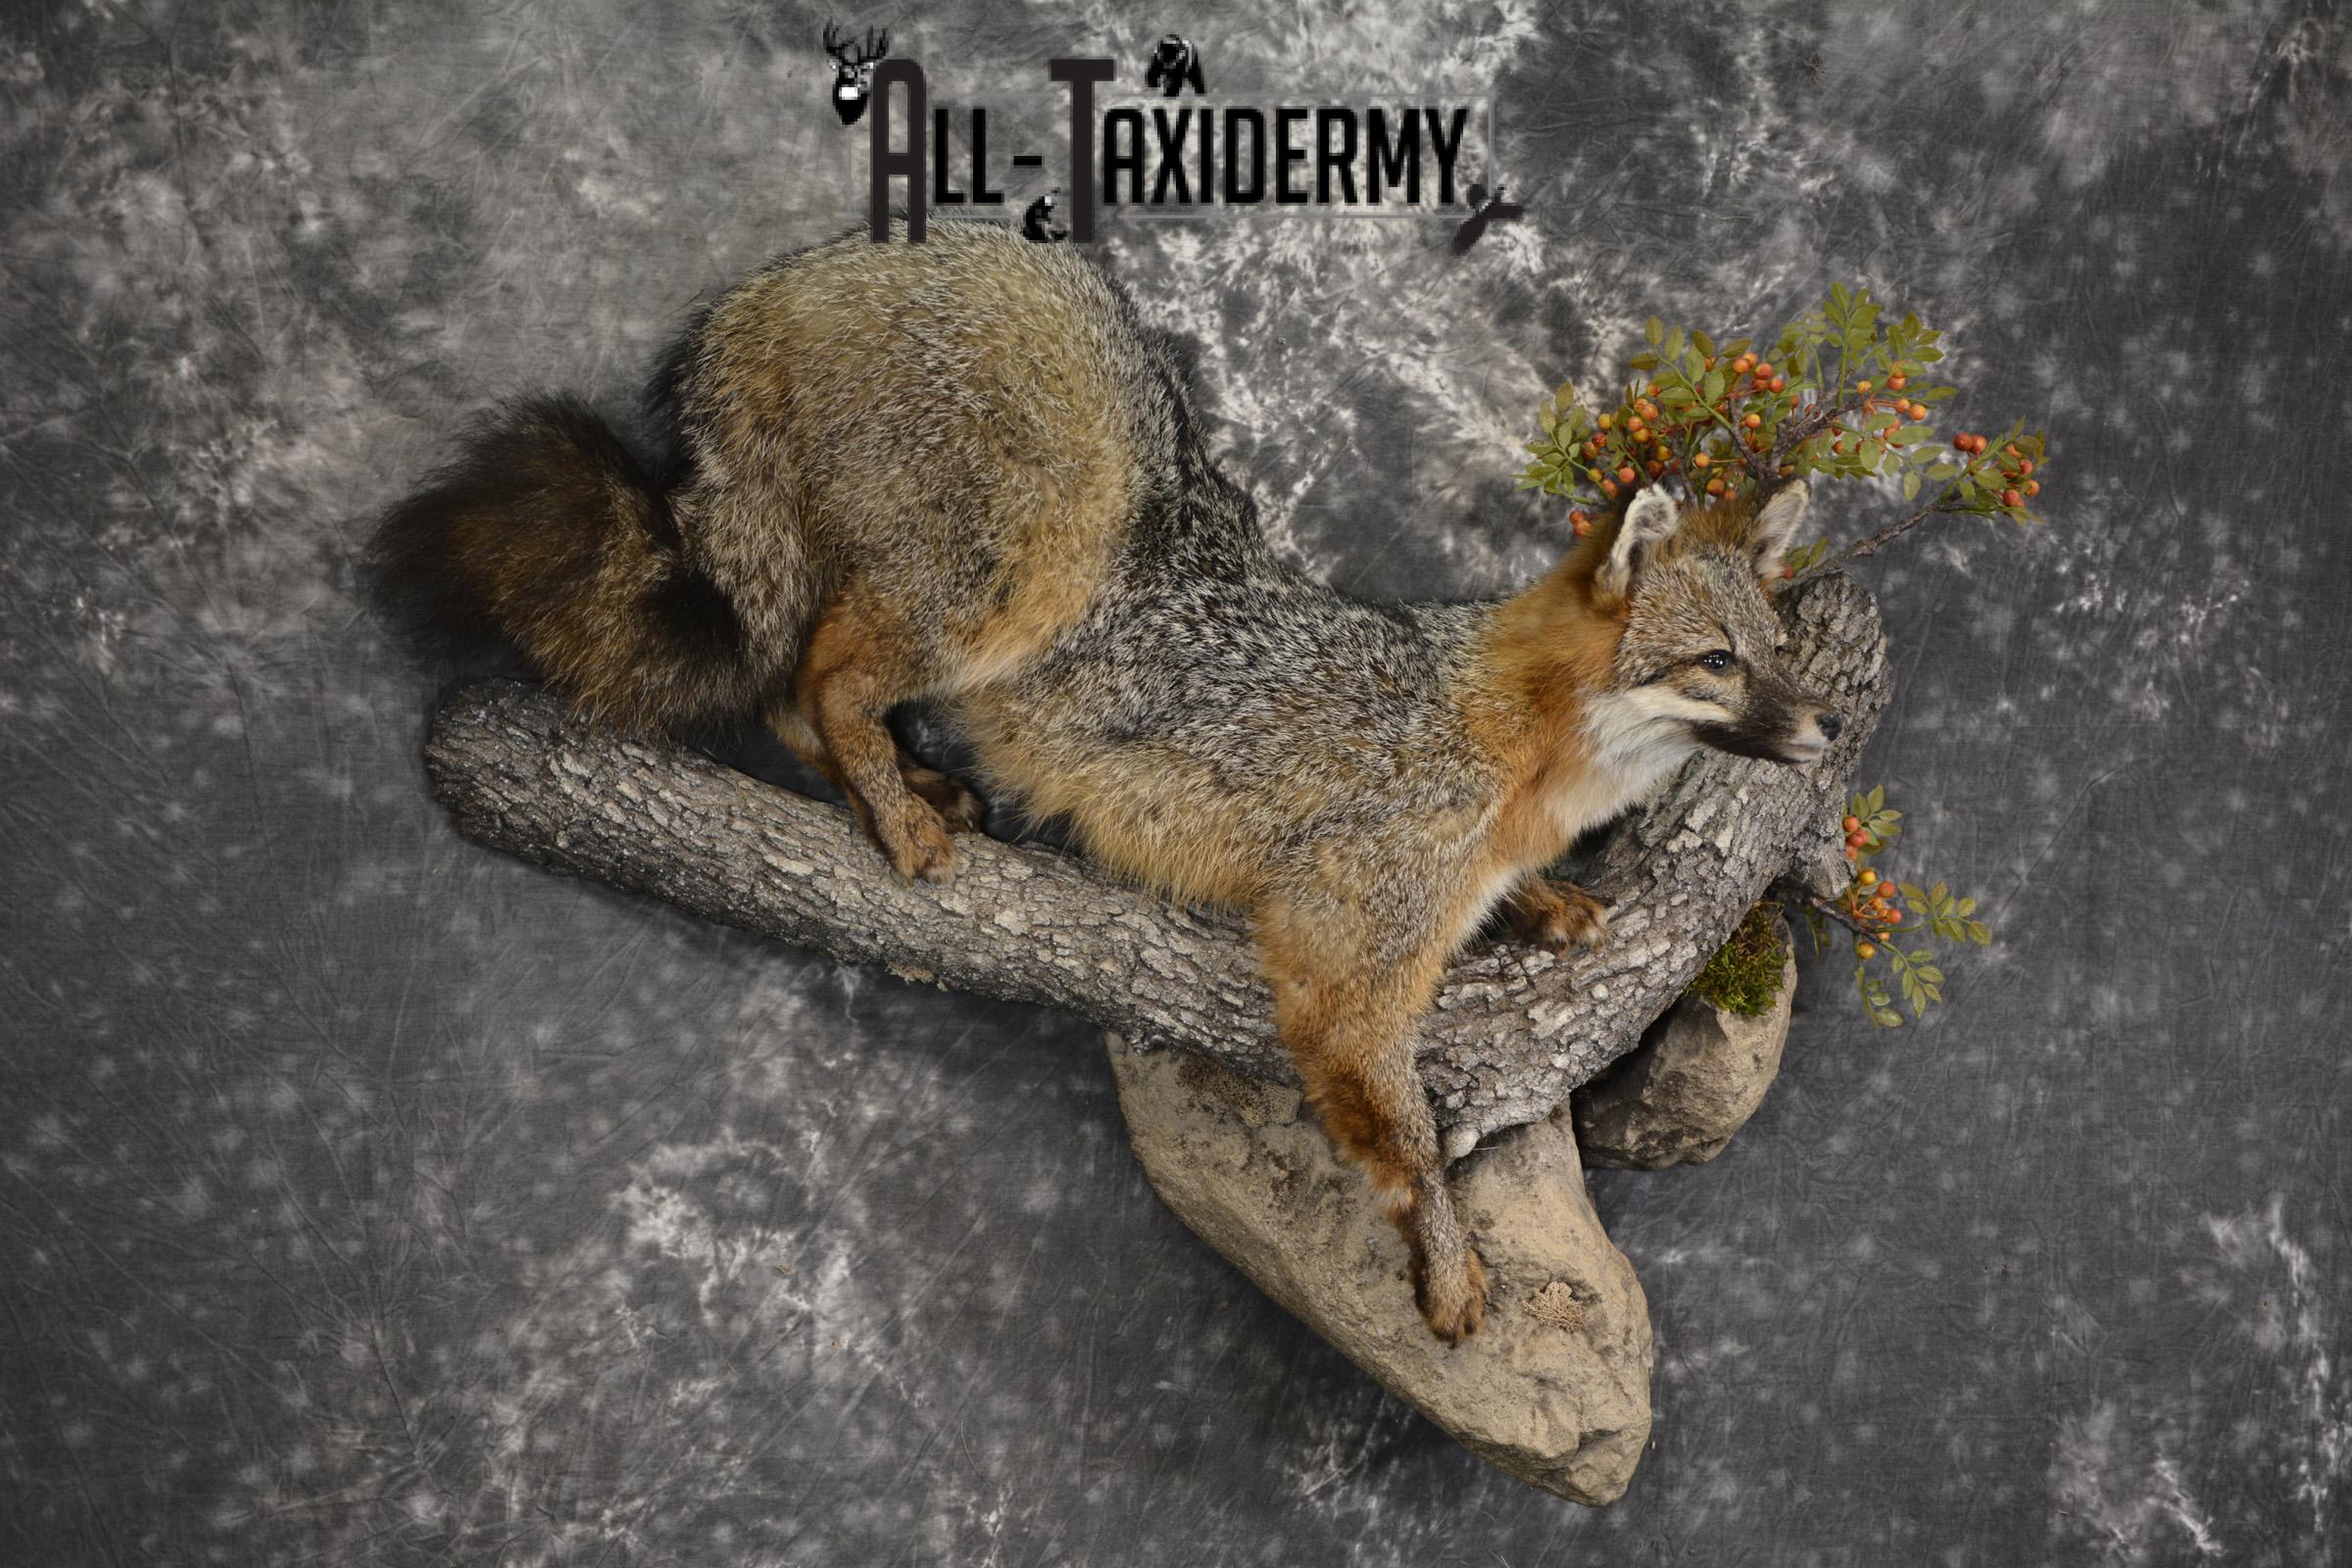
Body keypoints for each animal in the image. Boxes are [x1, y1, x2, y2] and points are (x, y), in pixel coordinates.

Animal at [375, 218, 1841, 1342]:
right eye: (1715, 665)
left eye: (1773, 654)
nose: (1827, 727)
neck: (1507, 741)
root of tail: (790, 278)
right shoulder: (1345, 965)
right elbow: (1413, 1140)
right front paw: (1444, 1263)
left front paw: (1543, 902)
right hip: (1027, 566)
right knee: (815, 678)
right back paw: (896, 810)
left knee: (793, 688)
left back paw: (902, 787)